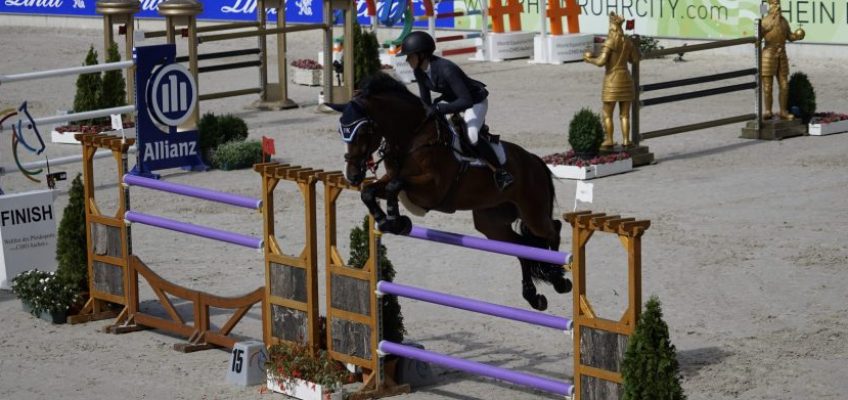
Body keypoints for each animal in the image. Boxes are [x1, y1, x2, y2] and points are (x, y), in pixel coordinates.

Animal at [324, 75, 568, 312]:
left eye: (363, 131)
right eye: (341, 131)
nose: (352, 175)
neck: (411, 137)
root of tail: (534, 160)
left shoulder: (432, 190)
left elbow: (395, 185)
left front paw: (395, 219)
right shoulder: (392, 182)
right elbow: (369, 192)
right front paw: (386, 221)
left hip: (532, 212)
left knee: (553, 229)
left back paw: (559, 280)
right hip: (492, 222)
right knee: (522, 247)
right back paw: (533, 296)